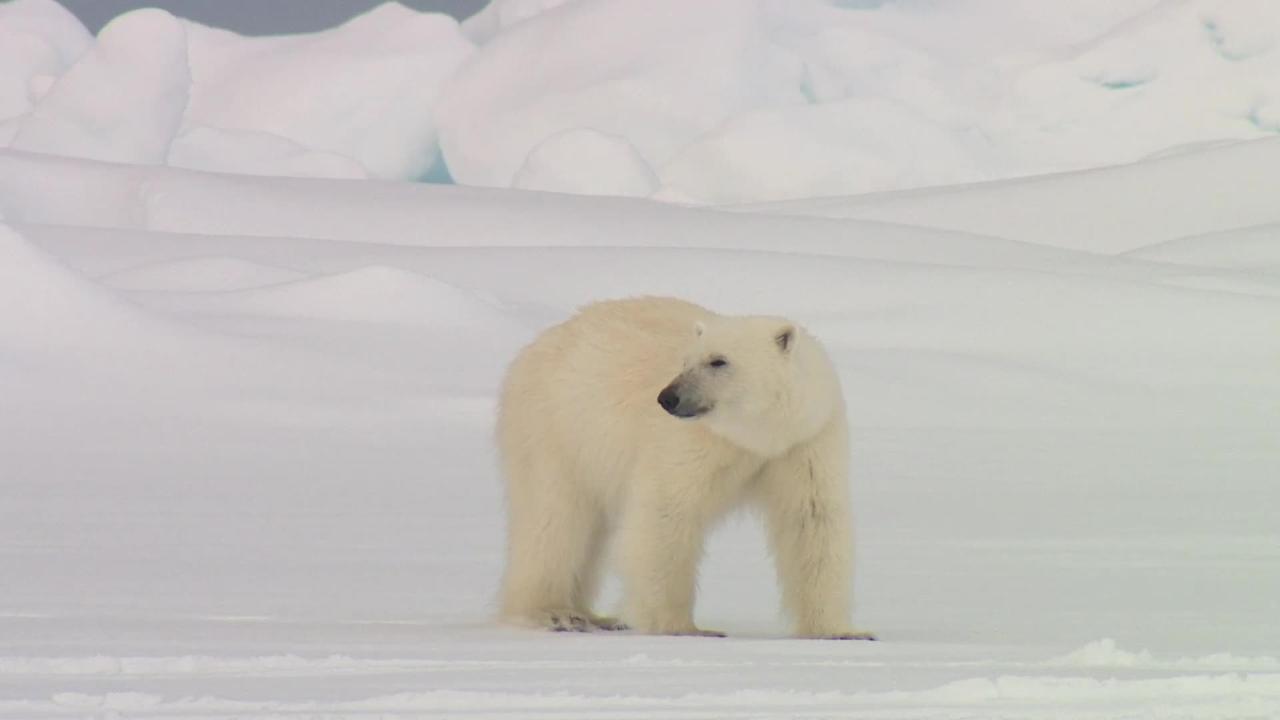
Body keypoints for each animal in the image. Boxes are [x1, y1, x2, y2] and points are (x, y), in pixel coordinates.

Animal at [488, 294, 870, 635]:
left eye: (718, 361)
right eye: (686, 361)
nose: (667, 397)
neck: (761, 436)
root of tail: (535, 347)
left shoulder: (806, 440)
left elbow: (812, 521)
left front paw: (840, 631)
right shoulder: (694, 441)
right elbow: (667, 512)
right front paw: (681, 627)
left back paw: (596, 616)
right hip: (557, 428)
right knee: (556, 517)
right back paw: (555, 612)